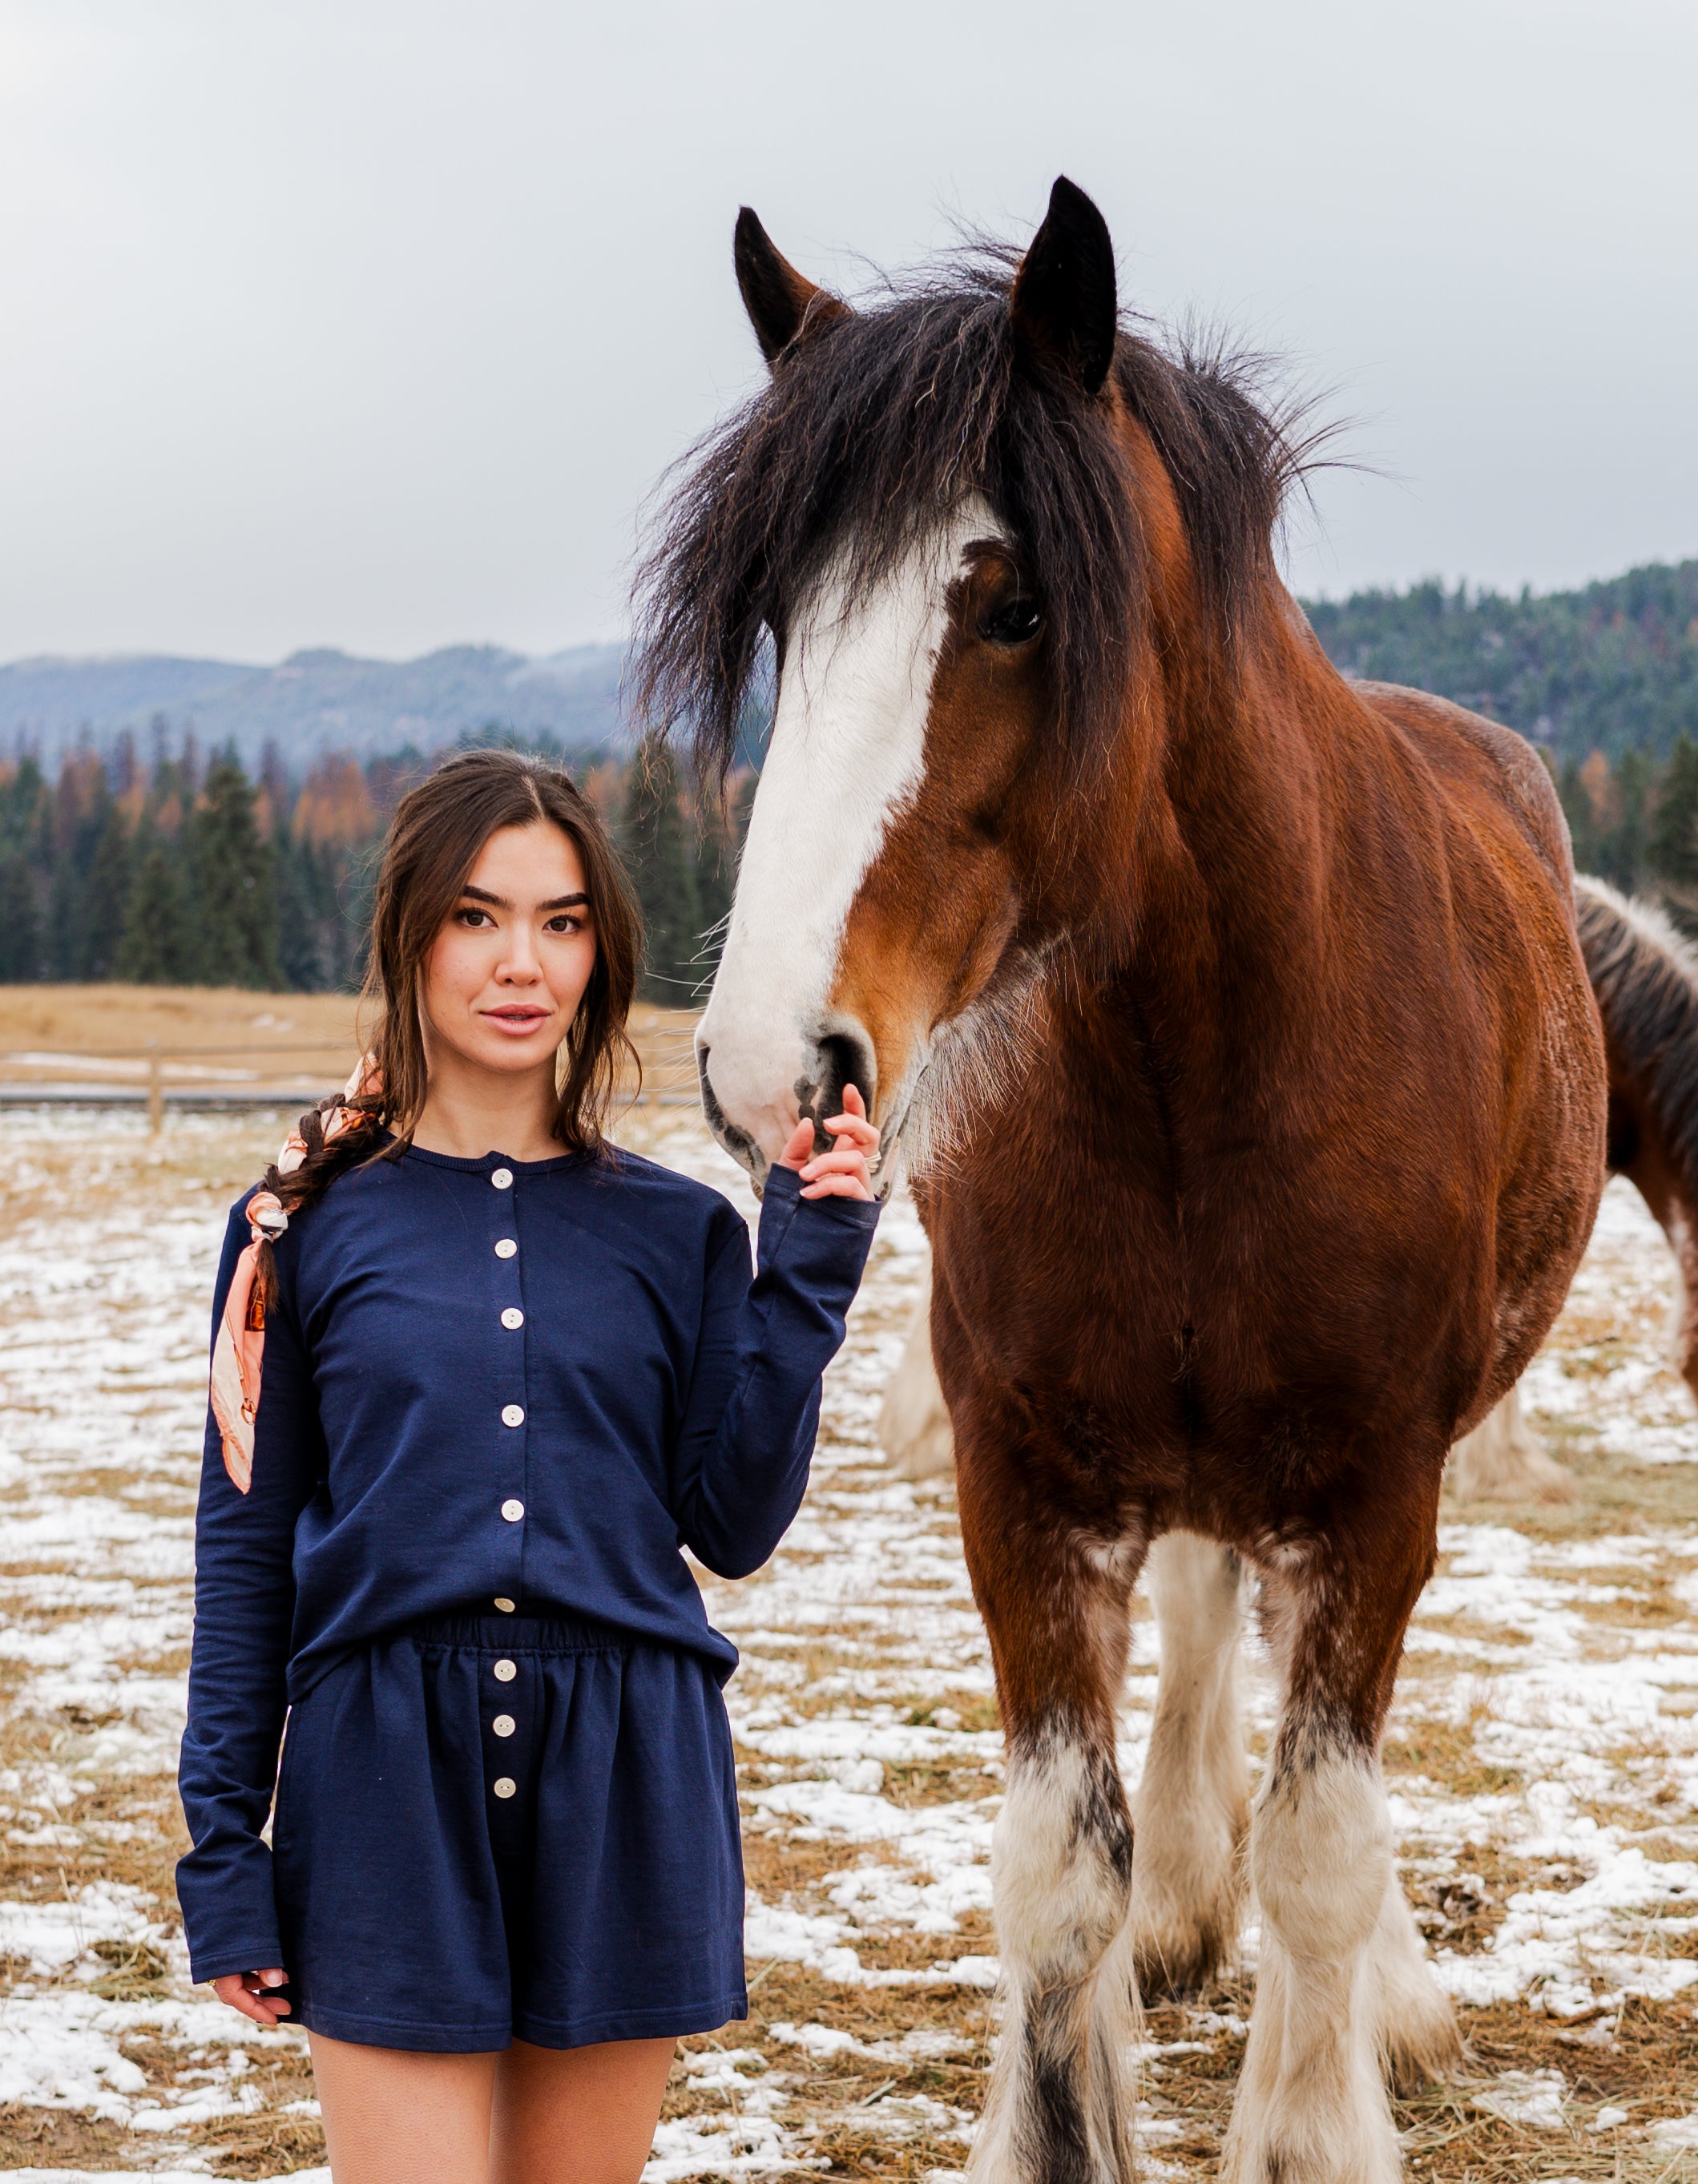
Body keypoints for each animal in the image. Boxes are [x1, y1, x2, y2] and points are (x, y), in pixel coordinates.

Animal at [637, 179, 1597, 2175]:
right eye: (778, 619)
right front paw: (1077, 2076)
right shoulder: (1020, 1486)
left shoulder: (1376, 1492)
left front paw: (1310, 2111)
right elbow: (1051, 1877)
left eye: (1013, 604)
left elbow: (1323, 1850)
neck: (1198, 1073)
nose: (775, 1063)